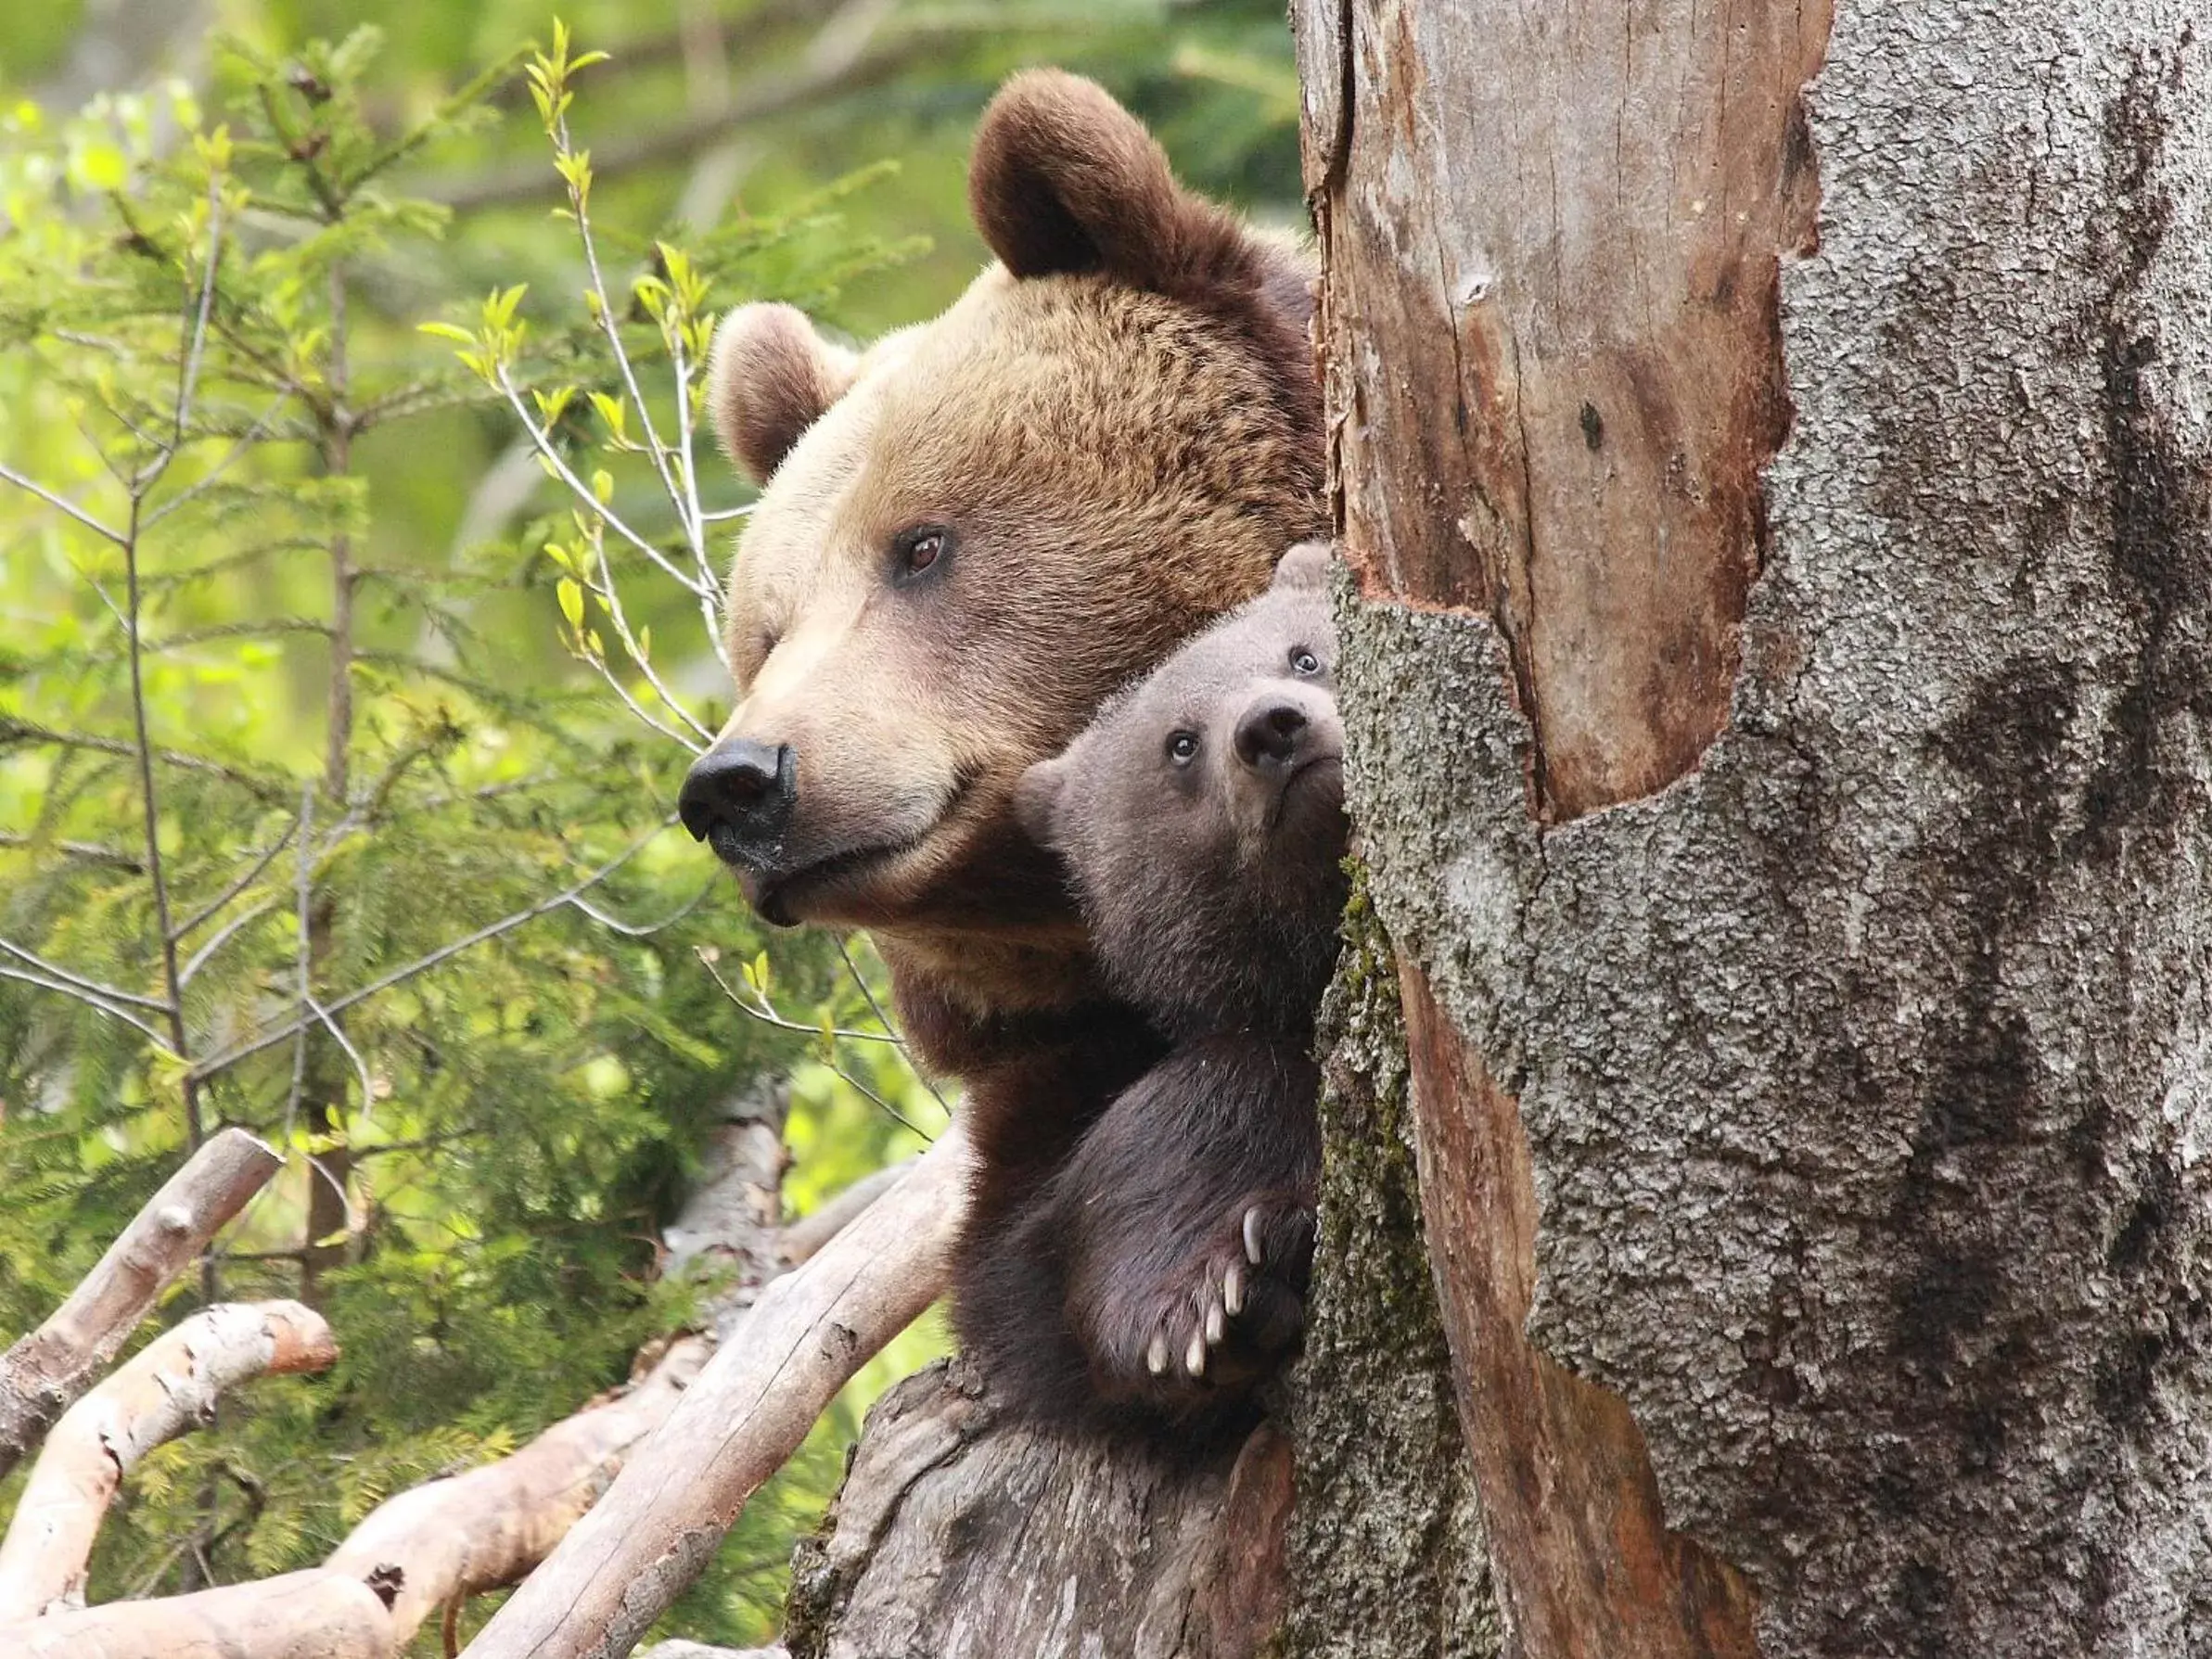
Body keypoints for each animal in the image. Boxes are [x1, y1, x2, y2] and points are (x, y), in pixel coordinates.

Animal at [986, 542, 1345, 1433]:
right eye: (1180, 742)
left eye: (1303, 654)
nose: (1272, 728)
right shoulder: (1231, 1069)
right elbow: (1153, 1172)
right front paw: (1216, 1302)